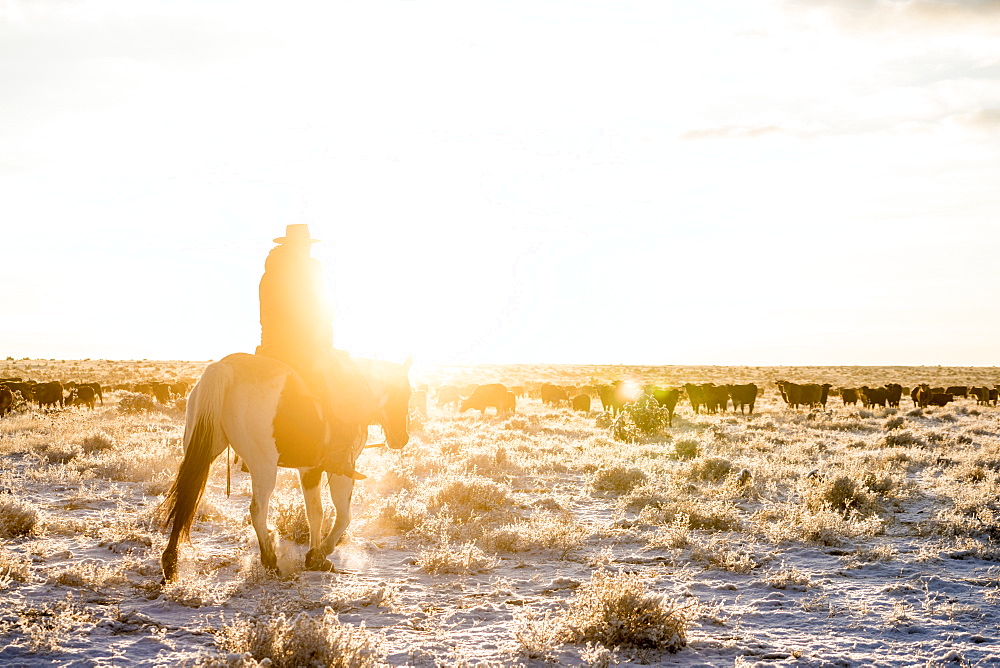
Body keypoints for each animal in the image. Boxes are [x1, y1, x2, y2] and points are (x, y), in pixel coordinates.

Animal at [158, 352, 408, 580]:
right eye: (407, 393)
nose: (402, 439)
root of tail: (225, 366)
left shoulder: (308, 470)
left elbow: (315, 512)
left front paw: (314, 556)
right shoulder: (337, 469)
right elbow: (339, 515)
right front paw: (320, 554)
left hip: (202, 449)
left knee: (186, 496)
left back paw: (170, 562)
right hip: (263, 465)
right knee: (257, 510)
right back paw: (270, 561)